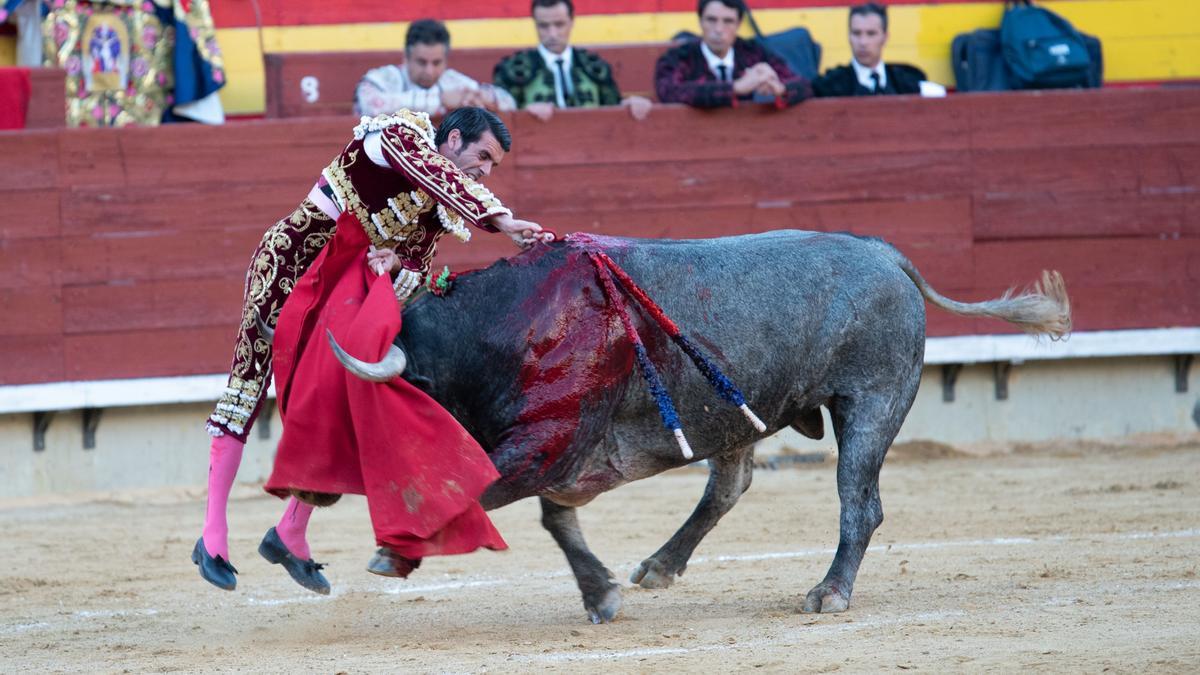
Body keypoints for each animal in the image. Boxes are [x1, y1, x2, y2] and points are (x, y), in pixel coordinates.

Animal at [331, 229, 1070, 619]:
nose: (322, 486)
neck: (501, 330)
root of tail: (885, 254)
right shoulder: (560, 457)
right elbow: (553, 516)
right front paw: (601, 592)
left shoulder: (547, 445)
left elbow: (474, 492)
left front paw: (393, 550)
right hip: (737, 417)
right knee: (728, 486)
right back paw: (660, 565)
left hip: (871, 403)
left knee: (859, 503)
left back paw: (829, 592)